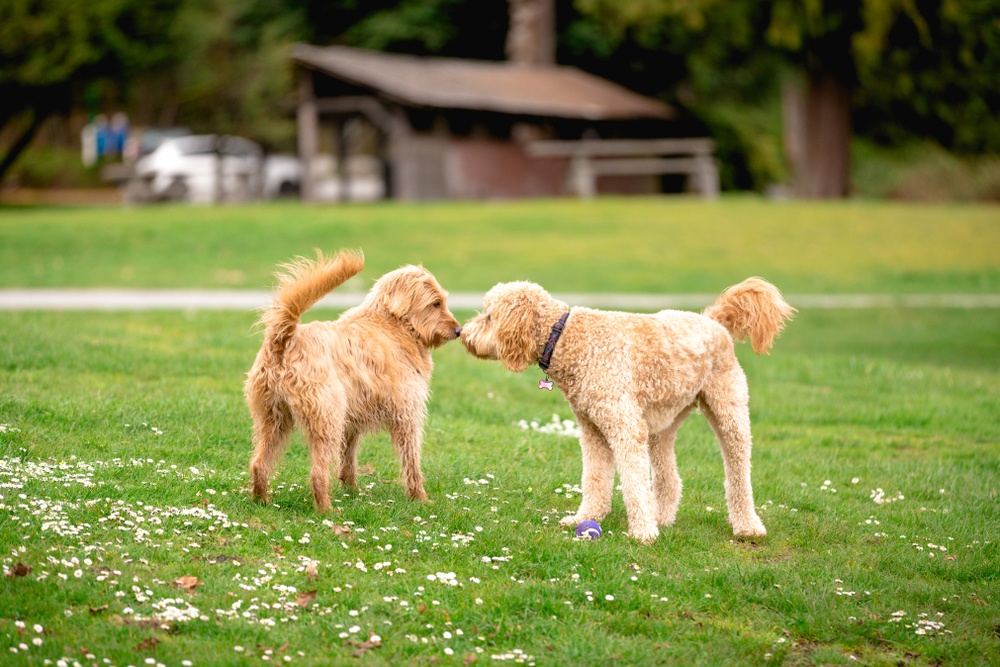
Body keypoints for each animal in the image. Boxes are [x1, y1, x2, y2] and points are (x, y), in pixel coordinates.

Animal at [244, 250, 462, 512]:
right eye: (435, 303)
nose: (459, 330)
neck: (394, 324)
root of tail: (284, 339)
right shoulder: (407, 415)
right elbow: (411, 461)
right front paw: (419, 497)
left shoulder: (352, 422)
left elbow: (348, 459)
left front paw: (352, 490)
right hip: (326, 419)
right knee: (317, 472)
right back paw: (326, 509)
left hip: (273, 419)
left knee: (259, 463)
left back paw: (261, 500)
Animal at [460, 276, 796, 544]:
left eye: (489, 316)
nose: (463, 333)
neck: (567, 338)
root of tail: (713, 320)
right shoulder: (593, 431)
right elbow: (595, 479)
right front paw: (586, 517)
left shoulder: (624, 427)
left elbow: (633, 483)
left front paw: (642, 533)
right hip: (662, 423)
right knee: (669, 478)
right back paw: (662, 517)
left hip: (728, 411)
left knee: (739, 472)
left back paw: (747, 526)